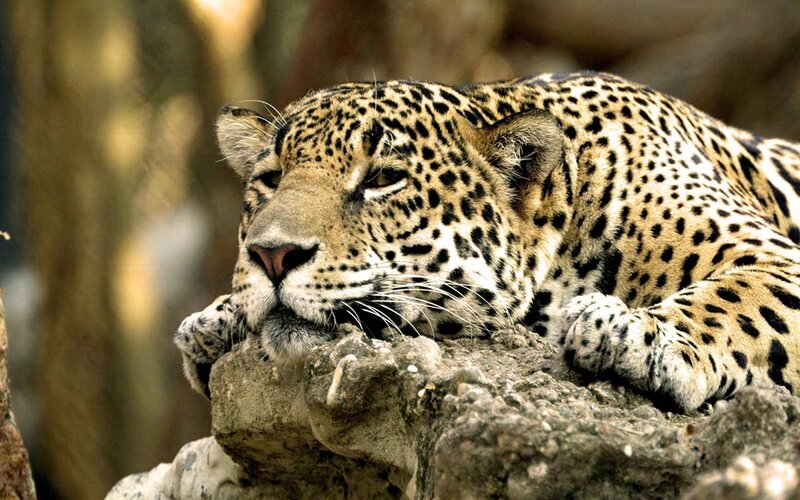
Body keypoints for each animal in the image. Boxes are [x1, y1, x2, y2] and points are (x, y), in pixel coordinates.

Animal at [175, 71, 800, 412]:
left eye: (383, 178)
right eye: (270, 178)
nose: (272, 254)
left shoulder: (774, 257)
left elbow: (731, 300)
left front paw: (635, 333)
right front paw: (217, 317)